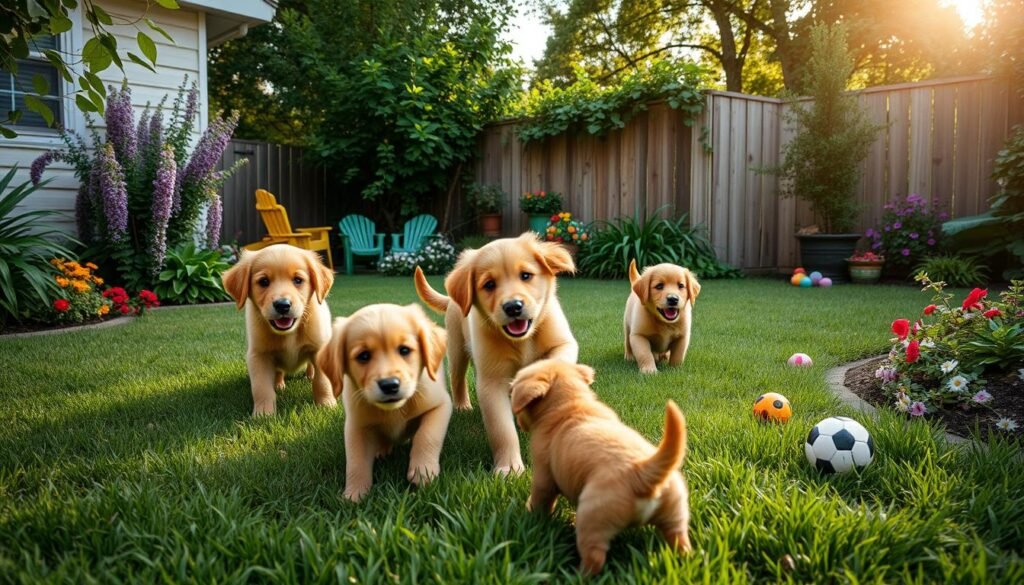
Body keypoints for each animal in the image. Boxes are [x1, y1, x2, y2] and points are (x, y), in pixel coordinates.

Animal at [223, 243, 335, 415]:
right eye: (263, 281)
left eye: (298, 280)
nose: (282, 305)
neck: (289, 333)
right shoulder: (259, 355)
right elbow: (261, 387)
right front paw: (263, 413)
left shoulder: (319, 349)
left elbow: (322, 381)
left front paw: (326, 405)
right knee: (278, 371)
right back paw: (278, 384)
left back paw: (309, 375)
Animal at [315, 305, 452, 502]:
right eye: (363, 356)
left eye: (404, 350)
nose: (389, 385)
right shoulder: (357, 426)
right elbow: (356, 461)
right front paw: (354, 494)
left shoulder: (440, 405)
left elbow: (427, 436)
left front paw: (423, 471)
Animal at [413, 233, 577, 475]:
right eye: (489, 285)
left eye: (526, 275)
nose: (513, 307)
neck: (521, 340)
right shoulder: (491, 381)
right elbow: (502, 429)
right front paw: (509, 468)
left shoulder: (564, 342)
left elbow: (555, 360)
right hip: (457, 348)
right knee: (457, 378)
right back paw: (463, 406)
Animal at [509, 358, 692, 573]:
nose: (518, 421)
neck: (570, 404)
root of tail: (642, 472)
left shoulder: (543, 475)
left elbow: (541, 498)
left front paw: (531, 515)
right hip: (675, 511)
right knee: (681, 541)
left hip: (593, 517)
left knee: (595, 557)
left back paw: (577, 573)